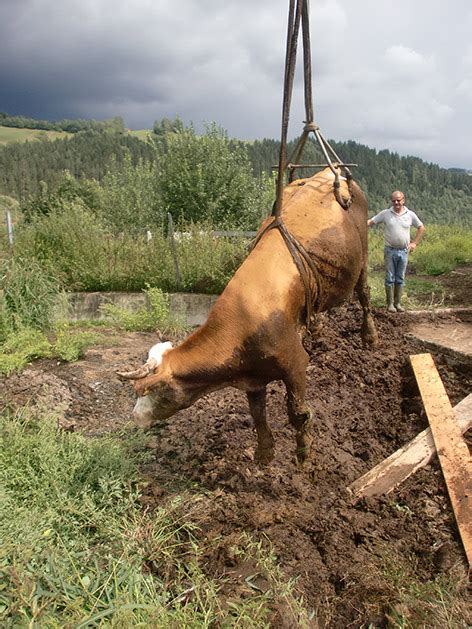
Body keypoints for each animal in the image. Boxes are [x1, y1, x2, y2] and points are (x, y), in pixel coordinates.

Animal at [120, 169, 378, 464]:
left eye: (149, 390)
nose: (135, 417)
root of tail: (330, 172)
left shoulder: (295, 364)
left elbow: (297, 413)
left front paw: (304, 454)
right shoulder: (253, 378)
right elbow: (257, 414)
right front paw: (264, 453)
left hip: (363, 256)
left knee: (364, 294)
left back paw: (370, 337)